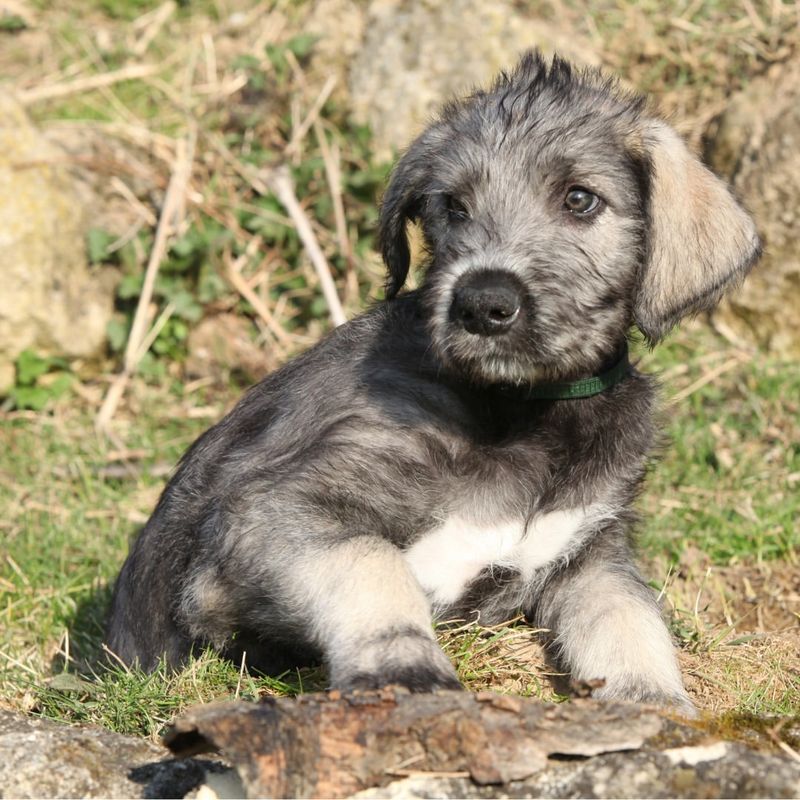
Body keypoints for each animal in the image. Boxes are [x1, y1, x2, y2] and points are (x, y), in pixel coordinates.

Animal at [106, 51, 756, 712]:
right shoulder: (266, 514)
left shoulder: (591, 553)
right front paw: (405, 666)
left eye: (580, 199)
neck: (523, 412)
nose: (482, 304)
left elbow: (628, 617)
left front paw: (655, 701)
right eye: (454, 207)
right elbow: (371, 561)